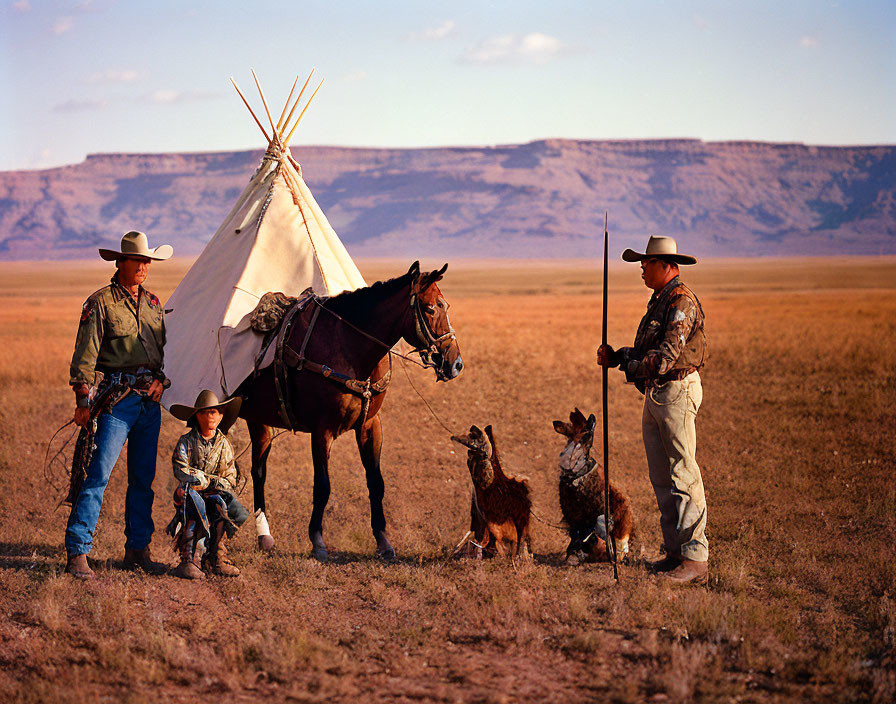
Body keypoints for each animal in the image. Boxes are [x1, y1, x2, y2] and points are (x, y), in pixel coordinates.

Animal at [236, 262, 462, 560]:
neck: (350, 347)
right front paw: (318, 541)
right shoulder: (322, 430)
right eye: (430, 309)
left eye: (444, 305)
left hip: (259, 419)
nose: (455, 363)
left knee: (258, 470)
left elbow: (376, 482)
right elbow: (323, 485)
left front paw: (383, 541)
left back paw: (263, 537)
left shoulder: (370, 425)